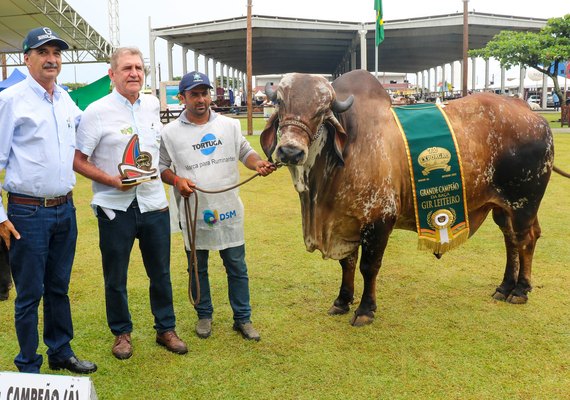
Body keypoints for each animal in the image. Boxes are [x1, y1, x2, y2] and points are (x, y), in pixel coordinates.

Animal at [262, 69, 556, 324]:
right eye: (280, 103)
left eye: (322, 111)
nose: (290, 151)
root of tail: (533, 115)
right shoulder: (346, 221)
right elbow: (347, 263)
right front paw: (342, 301)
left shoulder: (379, 220)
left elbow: (368, 266)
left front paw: (365, 310)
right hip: (503, 208)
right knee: (510, 240)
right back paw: (505, 286)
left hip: (524, 203)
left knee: (525, 240)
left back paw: (520, 290)